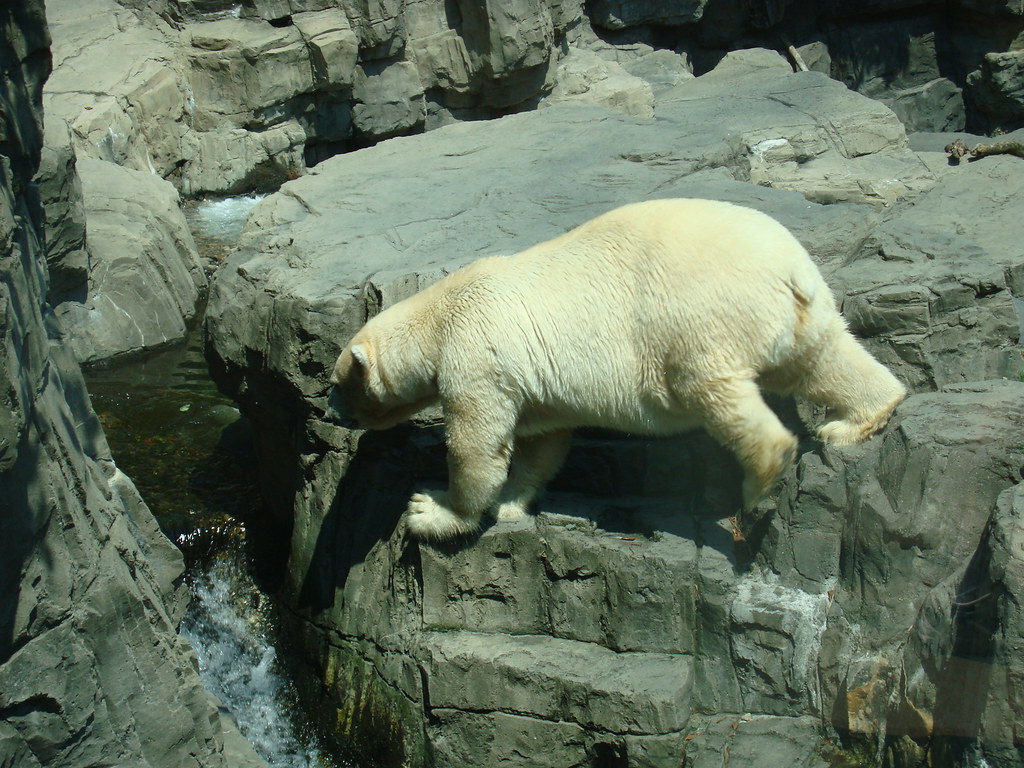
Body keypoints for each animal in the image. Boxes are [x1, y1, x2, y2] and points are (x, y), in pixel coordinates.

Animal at [325, 198, 906, 541]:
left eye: (337, 382)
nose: (328, 408)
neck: (441, 313)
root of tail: (791, 269)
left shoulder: (475, 355)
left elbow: (477, 445)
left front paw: (431, 509)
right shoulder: (534, 385)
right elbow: (542, 443)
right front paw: (515, 503)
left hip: (698, 318)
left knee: (714, 392)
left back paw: (763, 474)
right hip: (803, 314)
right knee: (824, 358)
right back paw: (858, 419)